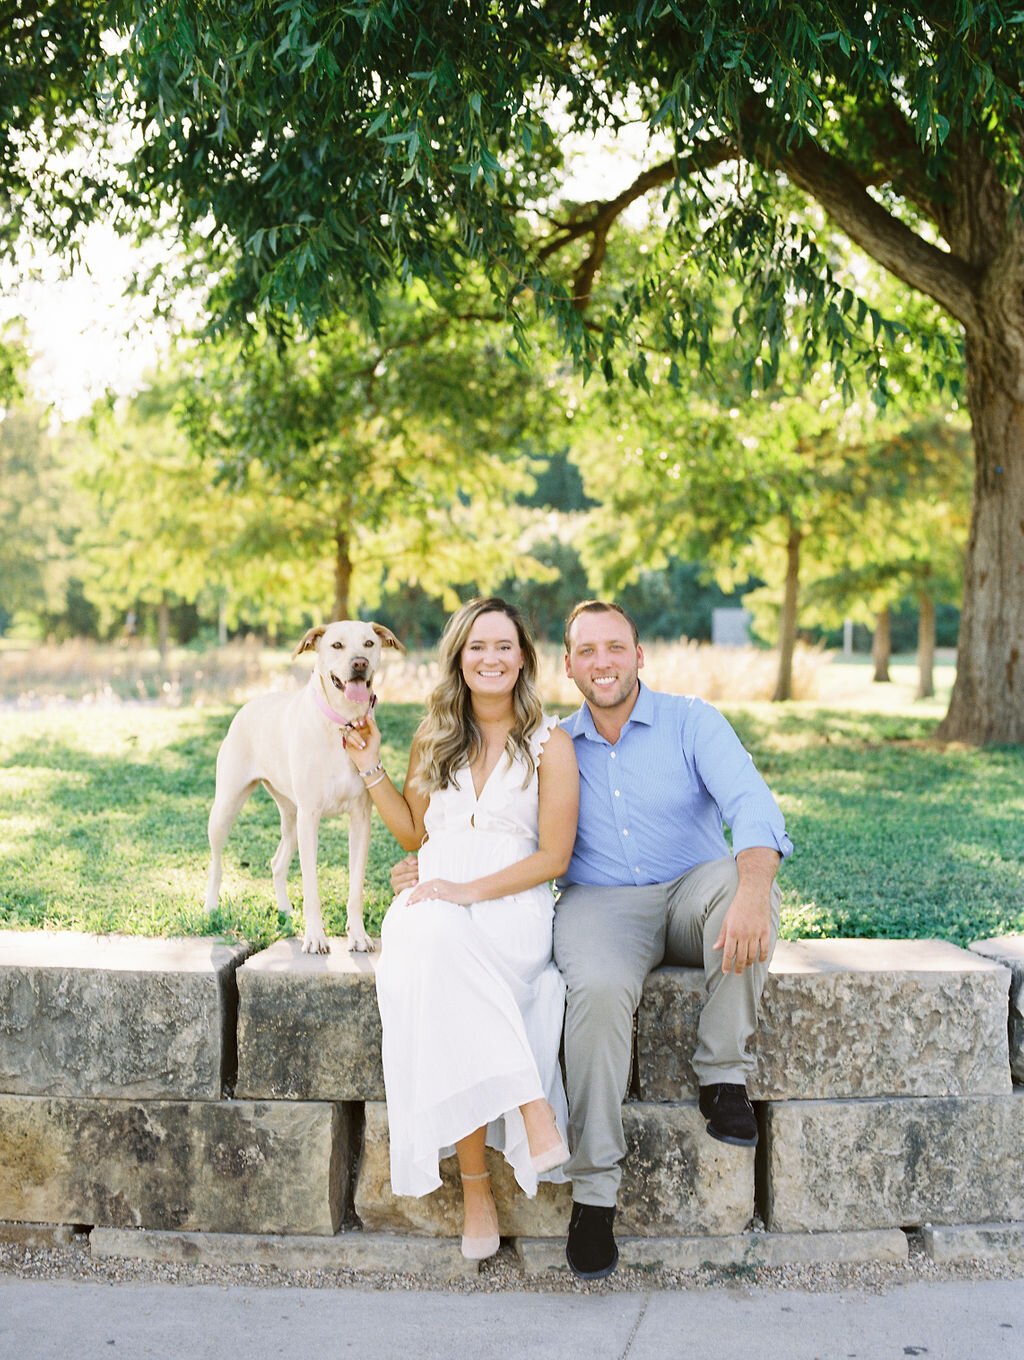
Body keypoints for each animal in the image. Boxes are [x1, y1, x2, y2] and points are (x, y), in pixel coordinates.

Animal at [203, 620, 402, 952]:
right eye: (336, 645)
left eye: (369, 643)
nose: (359, 663)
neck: (342, 725)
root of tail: (248, 704)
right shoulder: (311, 817)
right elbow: (311, 886)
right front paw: (315, 936)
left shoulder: (360, 818)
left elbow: (356, 887)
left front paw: (358, 935)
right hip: (227, 807)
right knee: (217, 860)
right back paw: (211, 907)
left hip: (291, 816)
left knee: (277, 862)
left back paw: (285, 911)